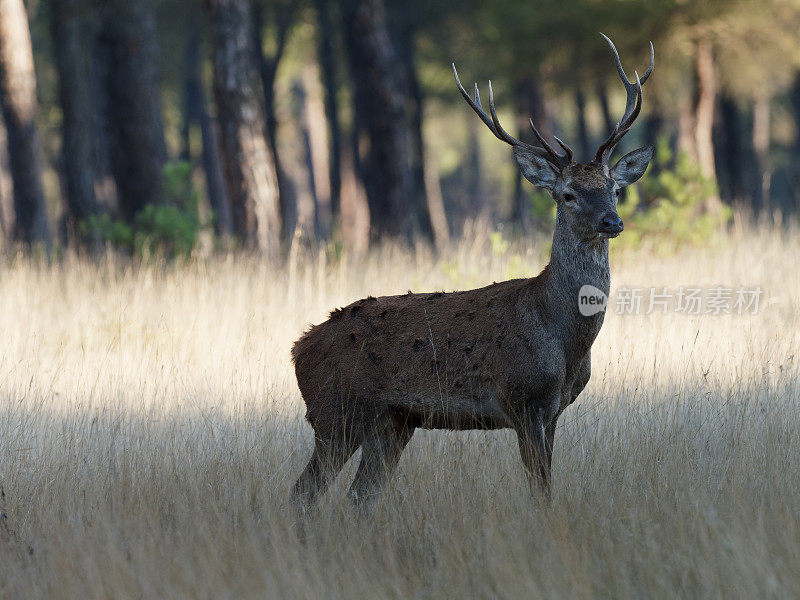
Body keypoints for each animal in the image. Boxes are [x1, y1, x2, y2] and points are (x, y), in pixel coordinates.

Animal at [290, 34, 652, 510]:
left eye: (615, 189)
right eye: (568, 194)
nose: (612, 221)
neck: (562, 339)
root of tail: (297, 349)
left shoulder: (554, 410)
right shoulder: (523, 399)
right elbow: (541, 491)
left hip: (392, 422)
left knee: (359, 497)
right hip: (336, 411)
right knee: (302, 493)